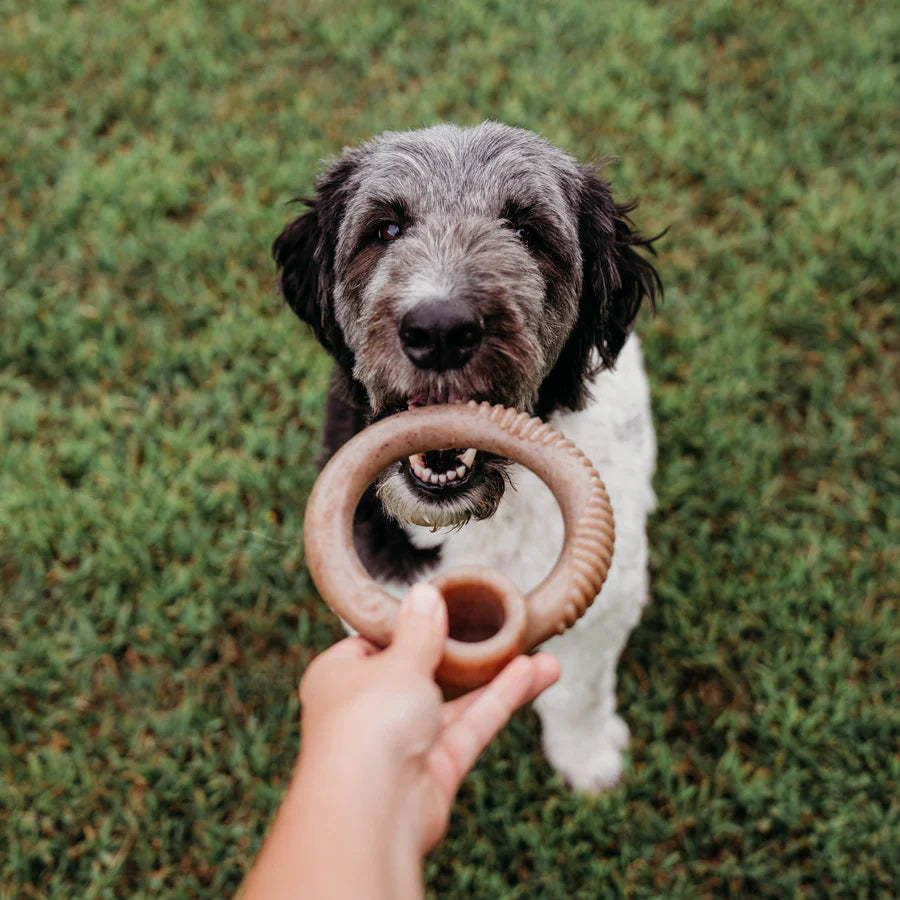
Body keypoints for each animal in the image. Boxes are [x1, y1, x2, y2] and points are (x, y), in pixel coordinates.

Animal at [274, 121, 660, 788]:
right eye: (386, 230)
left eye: (528, 233)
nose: (440, 330)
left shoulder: (607, 603)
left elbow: (577, 690)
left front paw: (587, 761)